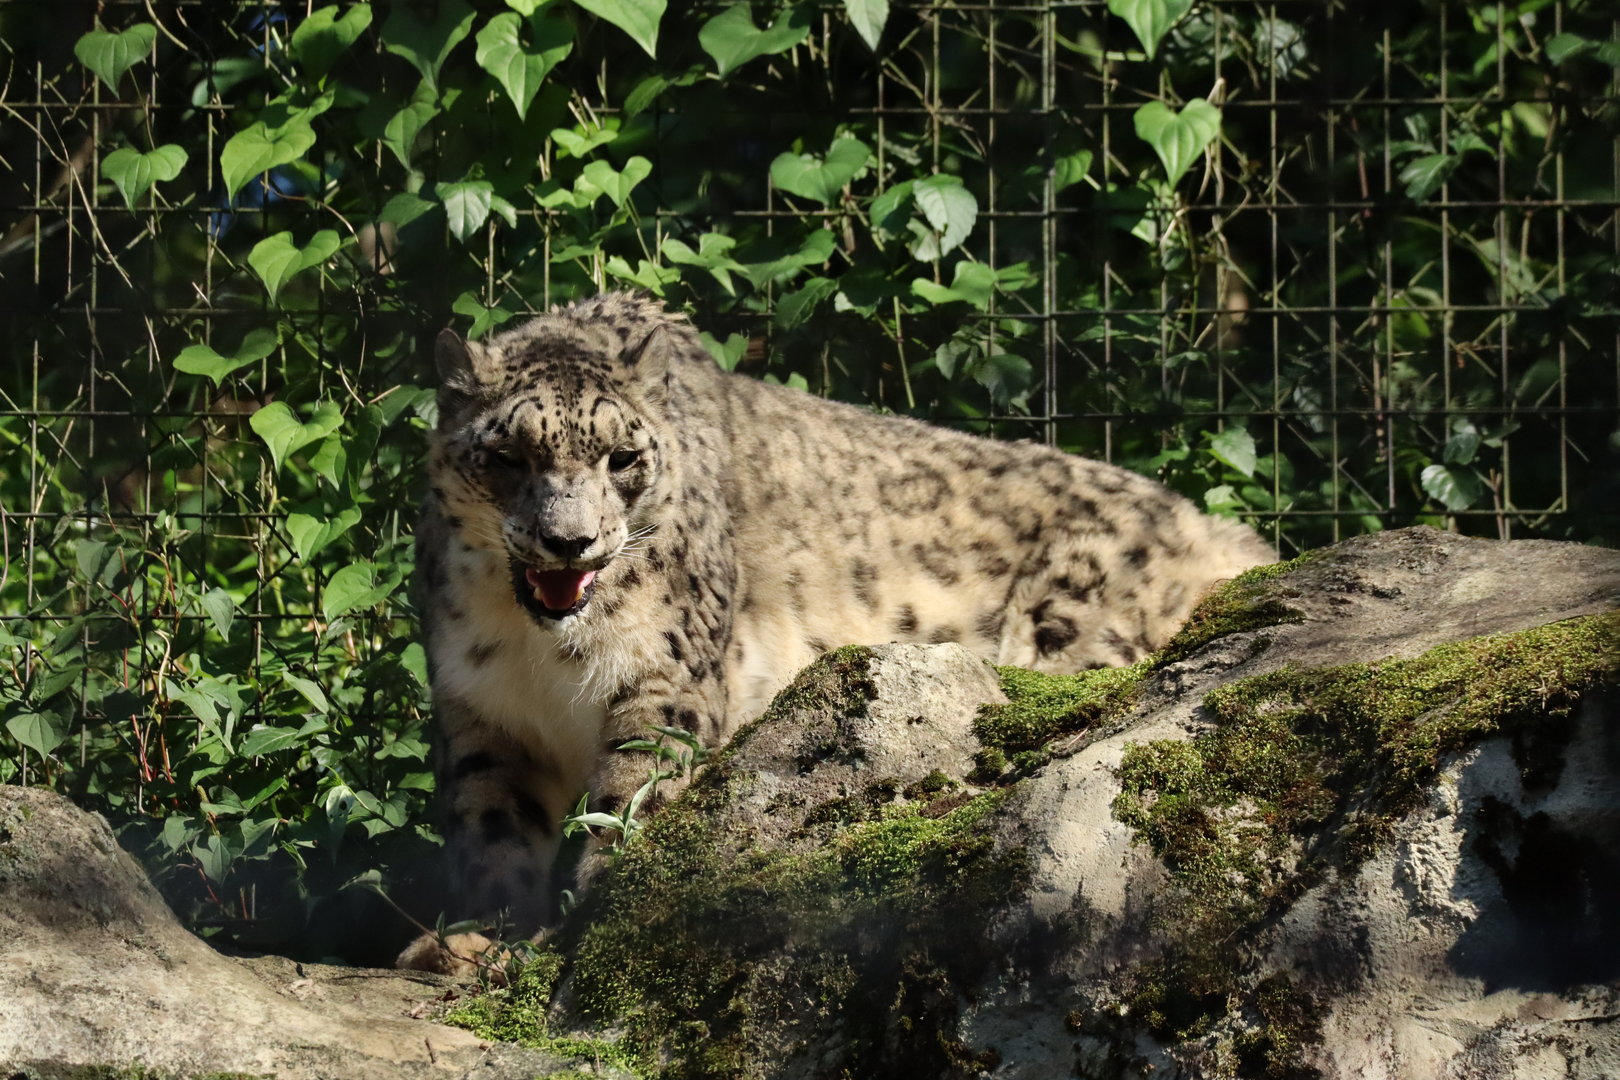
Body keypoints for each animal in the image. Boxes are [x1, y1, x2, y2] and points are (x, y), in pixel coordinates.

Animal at [395, 292, 1271, 973]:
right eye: (508, 455)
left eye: (620, 458)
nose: (569, 541)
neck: (541, 652)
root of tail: (1207, 527)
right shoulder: (484, 711)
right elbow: (492, 826)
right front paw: (476, 938)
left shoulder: (663, 676)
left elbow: (636, 792)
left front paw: (584, 922)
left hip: (1072, 625)